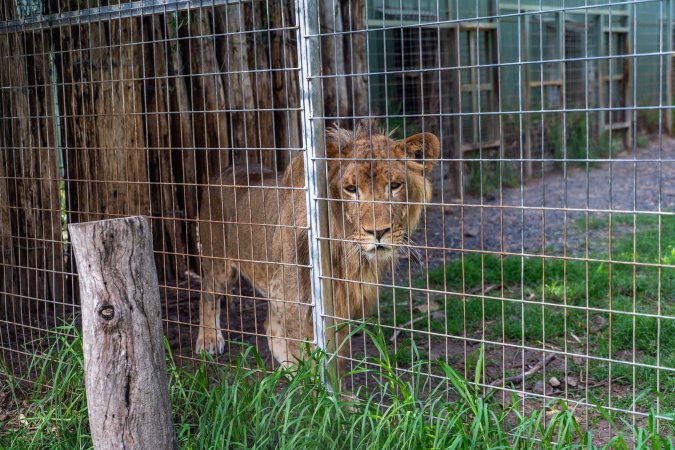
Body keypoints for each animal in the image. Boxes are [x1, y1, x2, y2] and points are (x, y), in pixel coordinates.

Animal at [195, 124, 440, 368]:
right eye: (351, 189)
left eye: (395, 186)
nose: (378, 232)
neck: (345, 252)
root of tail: (223, 170)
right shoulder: (294, 296)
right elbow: (305, 351)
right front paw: (307, 376)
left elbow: (335, 352)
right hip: (220, 264)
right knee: (207, 293)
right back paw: (208, 340)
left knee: (270, 326)